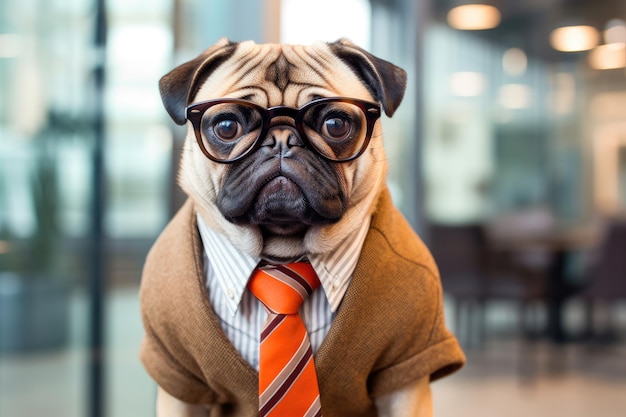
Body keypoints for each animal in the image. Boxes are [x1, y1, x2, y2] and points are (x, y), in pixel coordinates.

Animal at [141, 36, 464, 416]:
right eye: (227, 127)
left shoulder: (405, 377)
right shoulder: (181, 383)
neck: (283, 252)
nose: (282, 139)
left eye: (336, 125)